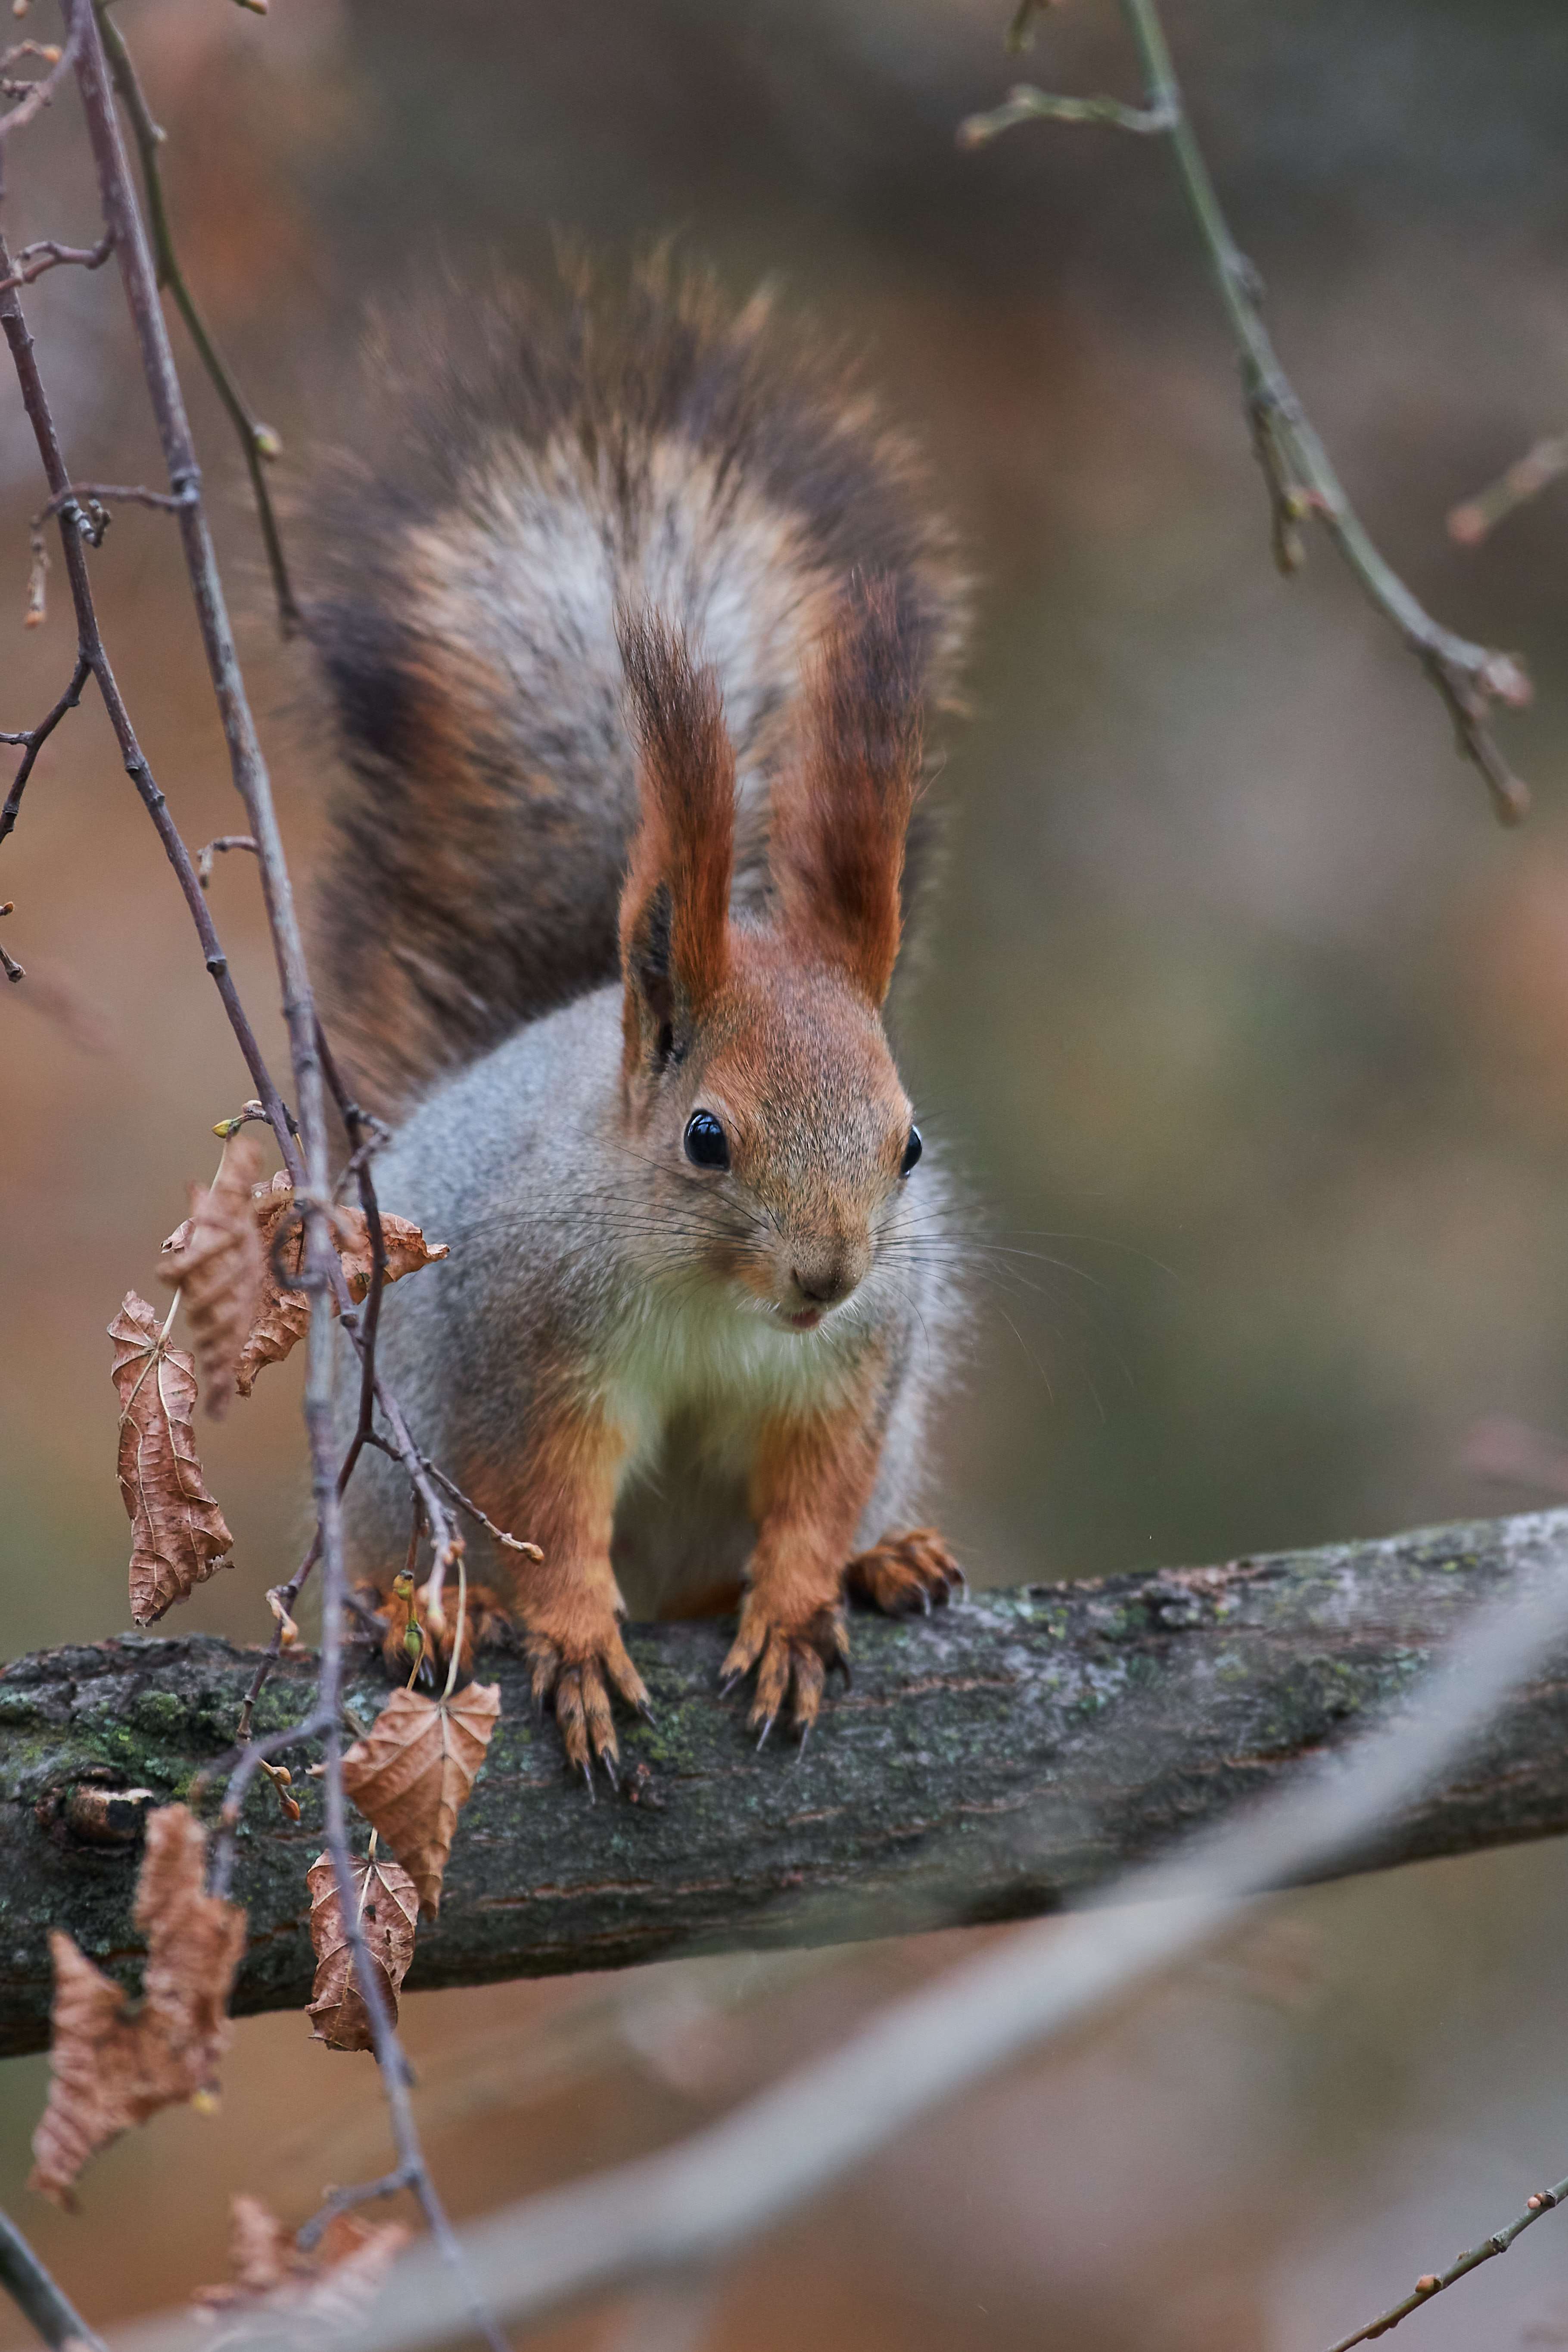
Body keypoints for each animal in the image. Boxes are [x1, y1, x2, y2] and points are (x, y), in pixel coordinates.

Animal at [301, 257, 973, 1768]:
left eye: (909, 1142)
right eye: (706, 1137)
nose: (827, 1274)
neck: (721, 1300)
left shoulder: (853, 1368)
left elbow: (814, 1488)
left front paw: (801, 1600)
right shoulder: (520, 1350)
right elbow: (546, 1515)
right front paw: (575, 1641)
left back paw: (883, 1558)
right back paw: (411, 1613)